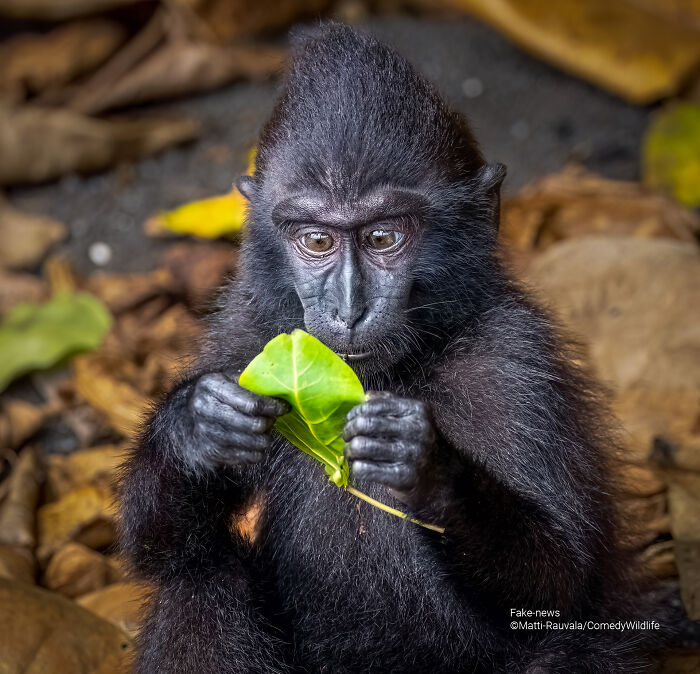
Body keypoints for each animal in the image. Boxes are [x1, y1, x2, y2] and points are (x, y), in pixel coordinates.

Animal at [120, 23, 658, 673]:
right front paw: (198, 427)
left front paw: (427, 469)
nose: (348, 308)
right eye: (316, 241)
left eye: (382, 237)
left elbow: (560, 585)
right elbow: (158, 551)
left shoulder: (512, 364)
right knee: (196, 582)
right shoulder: (244, 337)